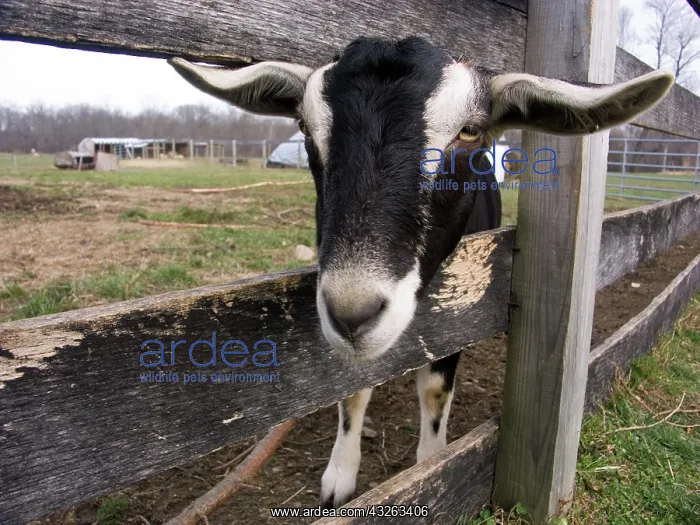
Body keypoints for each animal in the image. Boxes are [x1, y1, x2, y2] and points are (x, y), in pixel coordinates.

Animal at [169, 36, 673, 508]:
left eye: (470, 131)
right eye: (304, 127)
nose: (352, 313)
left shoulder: (463, 308)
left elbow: (434, 390)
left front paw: (432, 467)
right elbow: (353, 391)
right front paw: (339, 477)